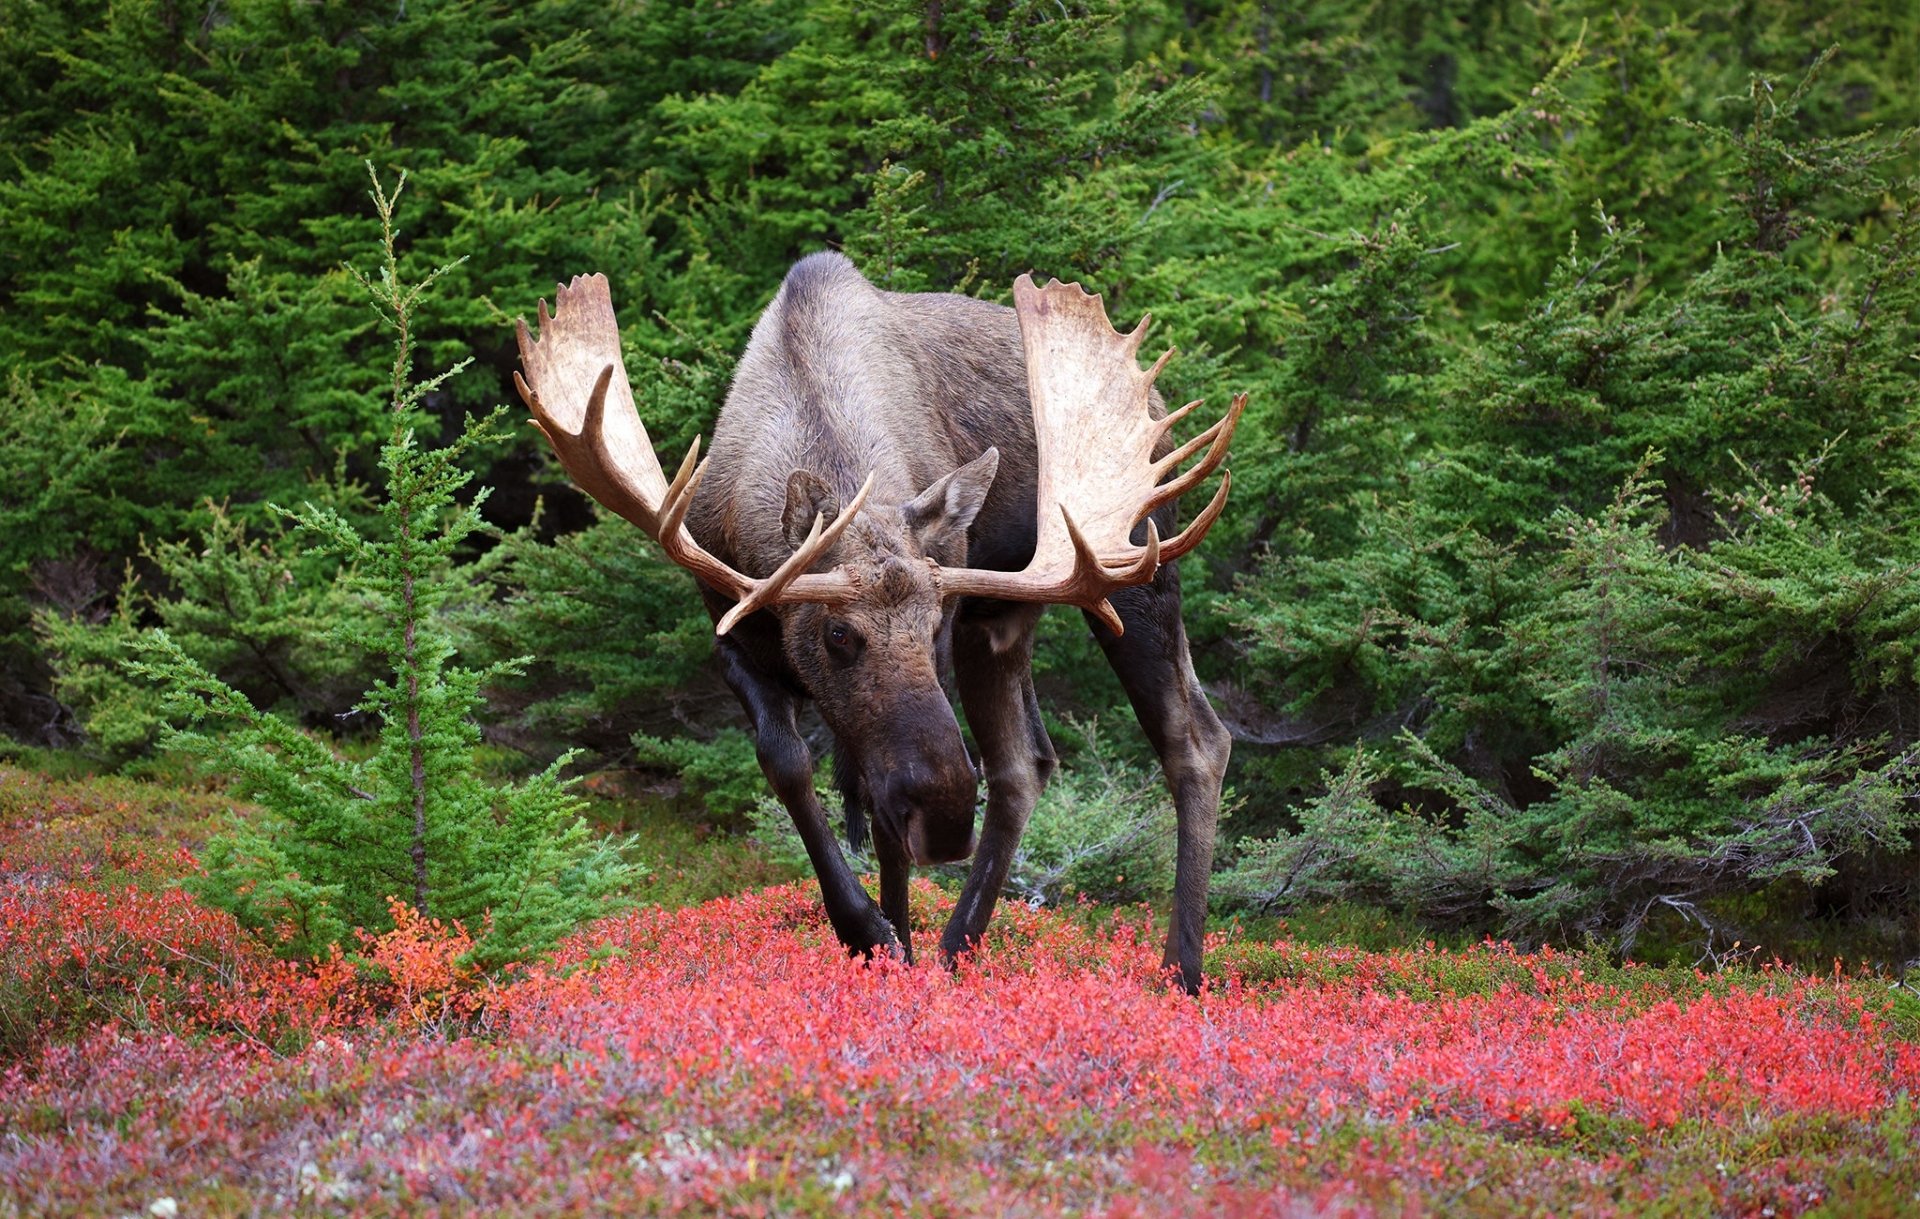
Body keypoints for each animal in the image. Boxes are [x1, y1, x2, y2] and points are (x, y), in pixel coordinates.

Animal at [514, 252, 1241, 992]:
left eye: (933, 625)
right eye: (838, 633)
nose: (946, 819)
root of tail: (1160, 411)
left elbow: (877, 808)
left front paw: (887, 941)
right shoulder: (733, 635)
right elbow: (788, 764)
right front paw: (870, 931)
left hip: (1133, 568)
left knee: (1194, 740)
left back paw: (1180, 969)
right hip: (1003, 619)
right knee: (1024, 763)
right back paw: (957, 947)